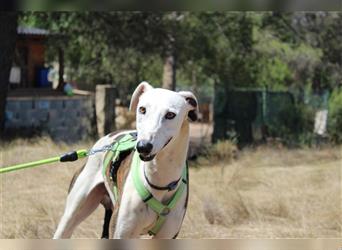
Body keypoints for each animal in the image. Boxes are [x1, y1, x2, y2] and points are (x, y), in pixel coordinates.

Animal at [53, 82, 198, 238]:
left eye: (170, 114)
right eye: (142, 109)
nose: (143, 146)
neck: (158, 180)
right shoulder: (121, 231)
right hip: (73, 212)